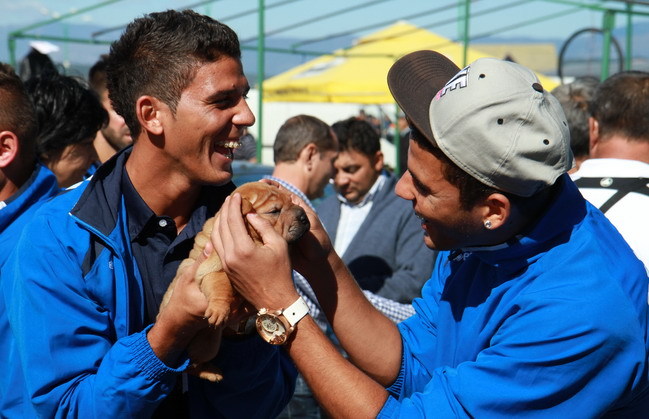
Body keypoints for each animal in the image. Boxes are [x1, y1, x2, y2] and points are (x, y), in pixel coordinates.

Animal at [158, 182, 308, 382]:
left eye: (291, 201)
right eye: (274, 211)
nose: (305, 216)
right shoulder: (211, 268)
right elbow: (221, 285)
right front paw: (219, 309)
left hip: (209, 343)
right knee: (190, 366)